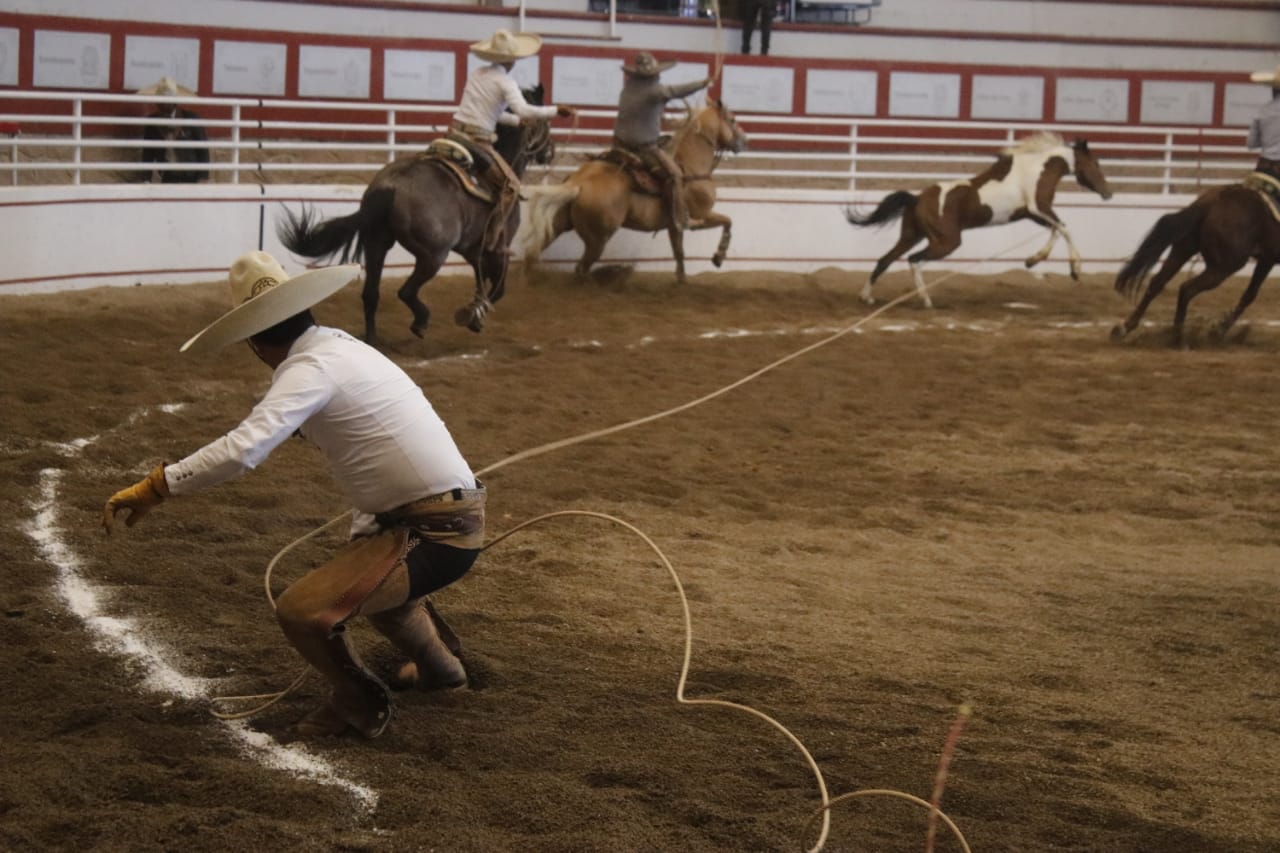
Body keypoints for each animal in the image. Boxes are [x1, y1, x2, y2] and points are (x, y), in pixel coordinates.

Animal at [280, 84, 555, 348]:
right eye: (545, 125)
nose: (550, 152)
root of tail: (391, 185)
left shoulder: (474, 251)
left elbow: (481, 282)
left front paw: (475, 312)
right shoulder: (498, 251)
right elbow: (497, 290)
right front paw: (475, 317)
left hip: (376, 243)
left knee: (371, 294)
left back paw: (373, 339)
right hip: (432, 256)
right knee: (406, 291)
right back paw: (420, 322)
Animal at [517, 96, 747, 281]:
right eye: (733, 119)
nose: (745, 140)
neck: (690, 165)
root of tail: (578, 182)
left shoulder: (674, 227)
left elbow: (679, 253)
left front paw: (682, 281)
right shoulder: (702, 215)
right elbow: (728, 222)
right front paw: (718, 257)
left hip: (560, 224)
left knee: (532, 254)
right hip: (597, 239)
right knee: (580, 268)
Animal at [839, 129, 1111, 306]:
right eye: (1096, 163)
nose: (1108, 192)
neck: (1037, 169)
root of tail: (917, 198)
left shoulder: (1032, 214)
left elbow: (1056, 229)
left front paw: (1033, 261)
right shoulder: (1039, 208)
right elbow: (1064, 227)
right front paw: (1075, 270)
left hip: (911, 235)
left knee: (885, 259)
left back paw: (866, 296)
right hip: (946, 241)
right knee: (914, 260)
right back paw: (925, 300)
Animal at [1111, 179, 1280, 345]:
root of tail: (1211, 202)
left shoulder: (1267, 259)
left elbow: (1249, 295)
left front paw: (1219, 331)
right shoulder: (1265, 260)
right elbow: (1249, 295)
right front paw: (1217, 331)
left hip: (1183, 249)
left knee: (1157, 282)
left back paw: (1125, 328)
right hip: (1223, 267)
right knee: (1187, 289)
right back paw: (1178, 339)